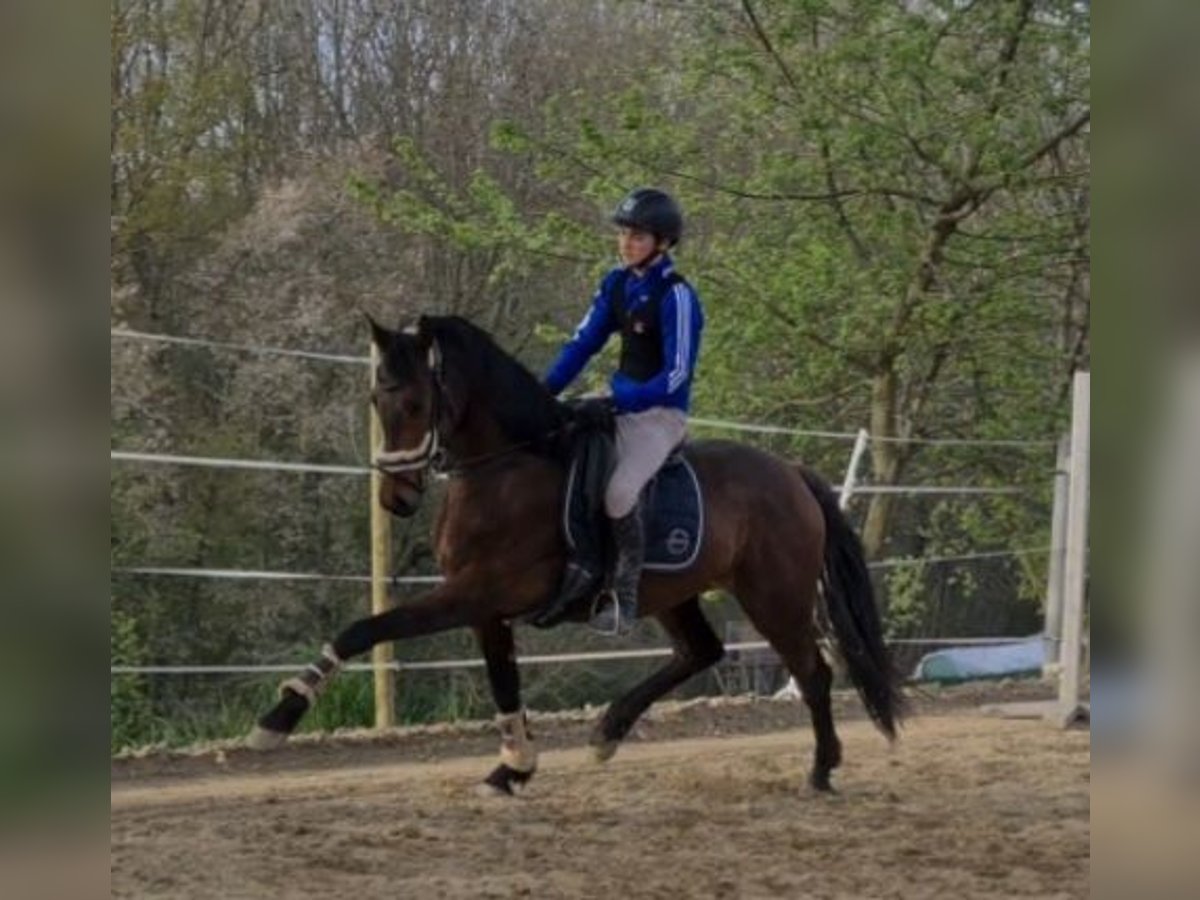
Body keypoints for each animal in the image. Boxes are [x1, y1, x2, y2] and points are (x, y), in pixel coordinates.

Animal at [250, 316, 902, 796]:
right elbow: (504, 684)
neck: (502, 469)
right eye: (376, 398)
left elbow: (366, 629)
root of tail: (790, 472)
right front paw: (512, 769)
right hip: (674, 593)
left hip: (774, 595)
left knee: (812, 672)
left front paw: (277, 720)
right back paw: (608, 731)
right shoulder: (485, 607)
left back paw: (821, 770)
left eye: (413, 402)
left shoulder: (472, 594)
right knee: (702, 650)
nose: (396, 497)